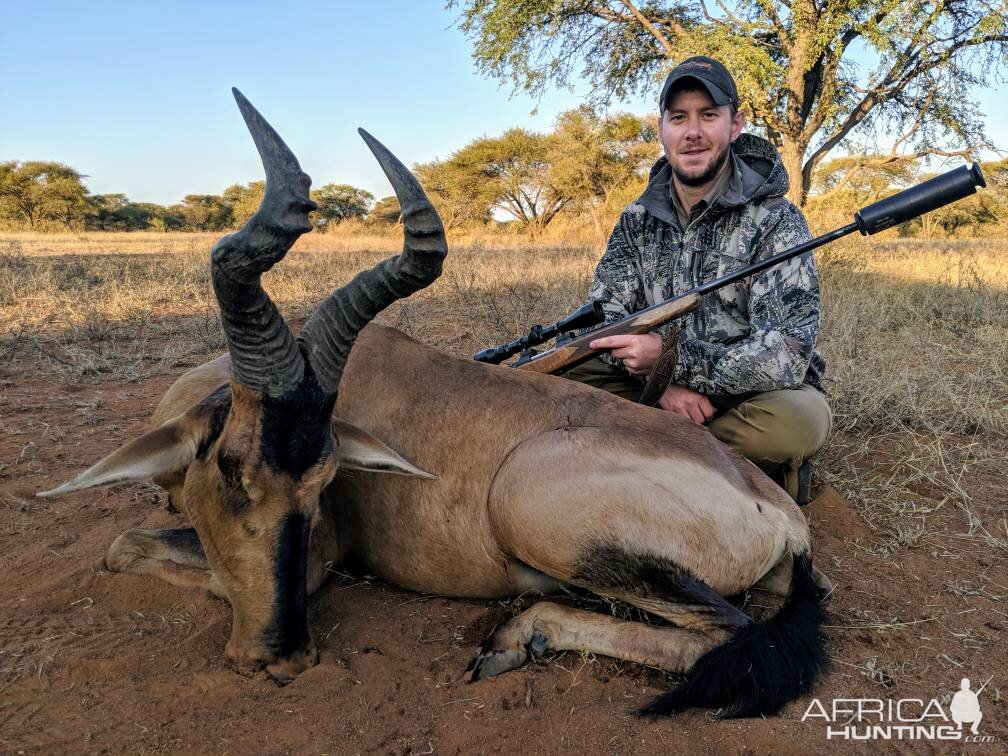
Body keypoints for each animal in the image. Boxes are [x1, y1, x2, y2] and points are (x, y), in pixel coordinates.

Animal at [39, 91, 830, 717]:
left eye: (324, 483)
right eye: (231, 470)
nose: (279, 660)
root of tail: (777, 508)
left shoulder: (320, 555)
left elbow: (123, 546)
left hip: (540, 515)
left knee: (731, 633)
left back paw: (514, 638)